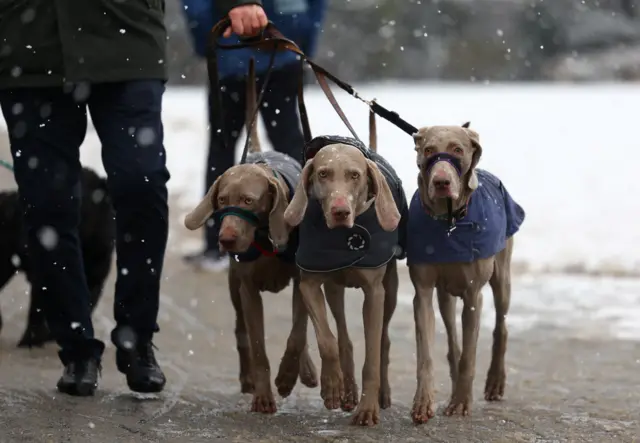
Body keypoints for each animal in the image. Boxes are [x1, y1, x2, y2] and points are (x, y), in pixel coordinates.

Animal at [182, 60, 318, 414]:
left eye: (248, 200)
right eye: (220, 201)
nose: (226, 239)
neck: (265, 238)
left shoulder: (302, 280)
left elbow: (298, 332)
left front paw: (288, 376)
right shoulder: (247, 291)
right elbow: (256, 344)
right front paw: (263, 394)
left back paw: (306, 370)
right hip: (234, 288)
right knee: (240, 330)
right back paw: (248, 378)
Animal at [282, 134, 408, 426]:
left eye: (355, 175)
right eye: (323, 173)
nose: (340, 211)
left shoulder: (374, 293)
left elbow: (372, 355)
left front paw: (368, 409)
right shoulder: (309, 284)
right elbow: (328, 341)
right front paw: (332, 387)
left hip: (390, 291)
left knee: (383, 341)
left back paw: (381, 394)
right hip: (333, 287)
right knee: (343, 337)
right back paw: (347, 389)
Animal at [404, 123, 524, 424]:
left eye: (458, 149)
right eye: (428, 150)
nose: (441, 183)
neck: (448, 224)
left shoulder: (473, 295)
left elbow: (470, 354)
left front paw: (460, 403)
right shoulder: (423, 292)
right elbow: (426, 353)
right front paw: (423, 402)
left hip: (501, 275)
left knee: (501, 325)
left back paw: (495, 381)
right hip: (445, 294)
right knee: (451, 336)